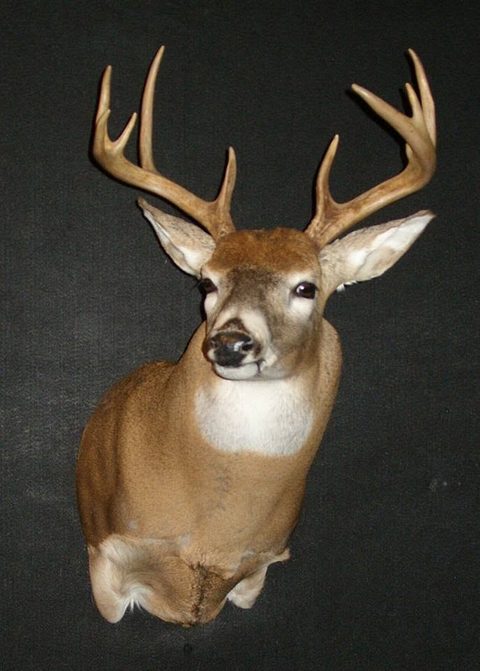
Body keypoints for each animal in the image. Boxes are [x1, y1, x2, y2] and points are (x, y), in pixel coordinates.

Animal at [77, 47, 436, 625]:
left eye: (306, 286)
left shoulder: (264, 562)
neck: (217, 531)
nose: (229, 341)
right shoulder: (107, 554)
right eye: (207, 282)